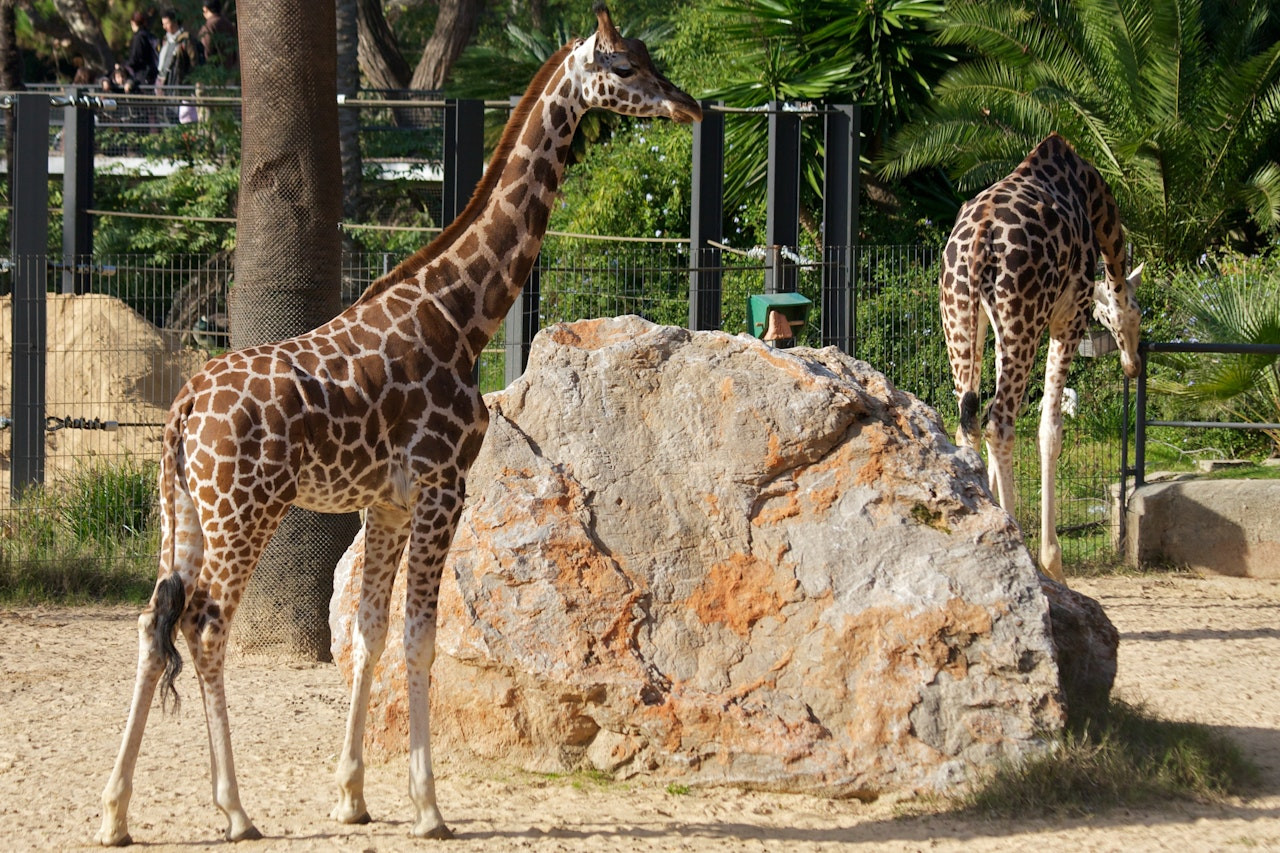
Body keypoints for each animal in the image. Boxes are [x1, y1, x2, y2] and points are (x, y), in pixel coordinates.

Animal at [97, 4, 701, 845]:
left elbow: (369, 631)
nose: (690, 105)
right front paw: (427, 806)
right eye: (622, 65)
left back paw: (115, 812)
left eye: (648, 56)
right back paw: (235, 810)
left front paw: (351, 795)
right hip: (243, 511)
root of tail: (182, 410)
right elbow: (420, 636)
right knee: (205, 626)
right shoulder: (444, 486)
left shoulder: (384, 500)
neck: (463, 313)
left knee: (152, 623)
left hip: (179, 510)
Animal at [936, 134, 1146, 584]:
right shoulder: (1068, 319)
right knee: (1000, 422)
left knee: (970, 423)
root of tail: (978, 242)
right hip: (1023, 318)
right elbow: (1050, 431)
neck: (1095, 200)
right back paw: (1020, 549)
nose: (1133, 365)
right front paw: (1051, 563)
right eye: (1136, 314)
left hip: (961, 318)